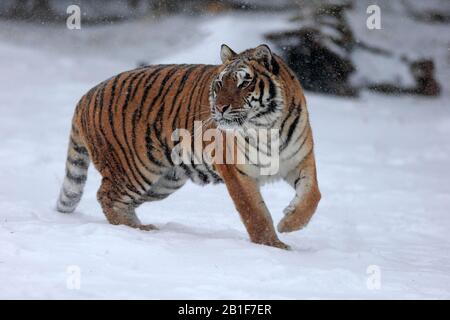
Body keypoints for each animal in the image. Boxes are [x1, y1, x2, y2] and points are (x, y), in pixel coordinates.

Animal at [56, 43, 322, 249]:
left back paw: (141, 227)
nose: (220, 108)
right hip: (134, 168)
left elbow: (312, 196)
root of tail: (86, 96)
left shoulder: (300, 159)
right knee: (107, 195)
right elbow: (254, 212)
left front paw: (289, 223)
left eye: (243, 83)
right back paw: (137, 230)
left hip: (163, 182)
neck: (267, 126)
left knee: (122, 200)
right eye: (219, 84)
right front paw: (272, 244)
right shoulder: (236, 170)